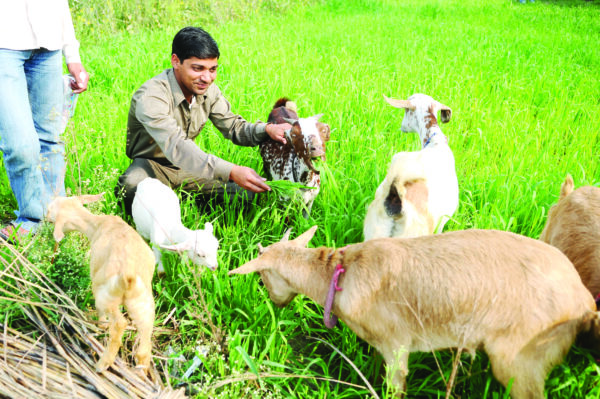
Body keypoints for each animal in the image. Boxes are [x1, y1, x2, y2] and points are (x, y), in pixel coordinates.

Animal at [46, 194, 156, 376]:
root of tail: (129, 277)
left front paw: (101, 325)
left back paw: (102, 364)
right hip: (142, 303)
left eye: (50, 210)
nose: (44, 216)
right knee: (146, 336)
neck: (97, 224)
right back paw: (141, 369)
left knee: (119, 324)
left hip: (106, 296)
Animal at [229, 227, 596, 398]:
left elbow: (395, 387)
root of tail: (584, 301)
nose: (276, 303)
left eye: (261, 277)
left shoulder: (397, 344)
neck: (340, 275)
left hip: (521, 357)